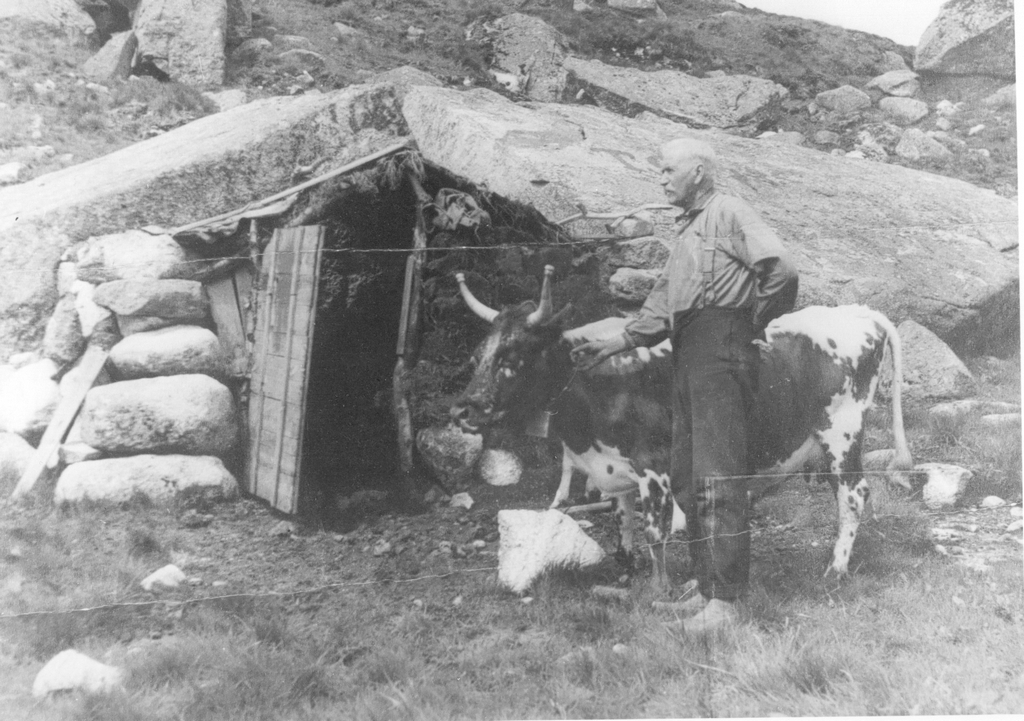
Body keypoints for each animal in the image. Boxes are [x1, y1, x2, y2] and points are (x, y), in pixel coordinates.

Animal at [452, 264, 917, 589]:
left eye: (513, 358)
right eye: (477, 356)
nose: (463, 411)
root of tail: (861, 312)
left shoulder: (654, 468)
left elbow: (655, 531)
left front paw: (659, 589)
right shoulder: (614, 468)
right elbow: (623, 521)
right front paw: (628, 569)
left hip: (842, 432)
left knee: (853, 494)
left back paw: (836, 569)